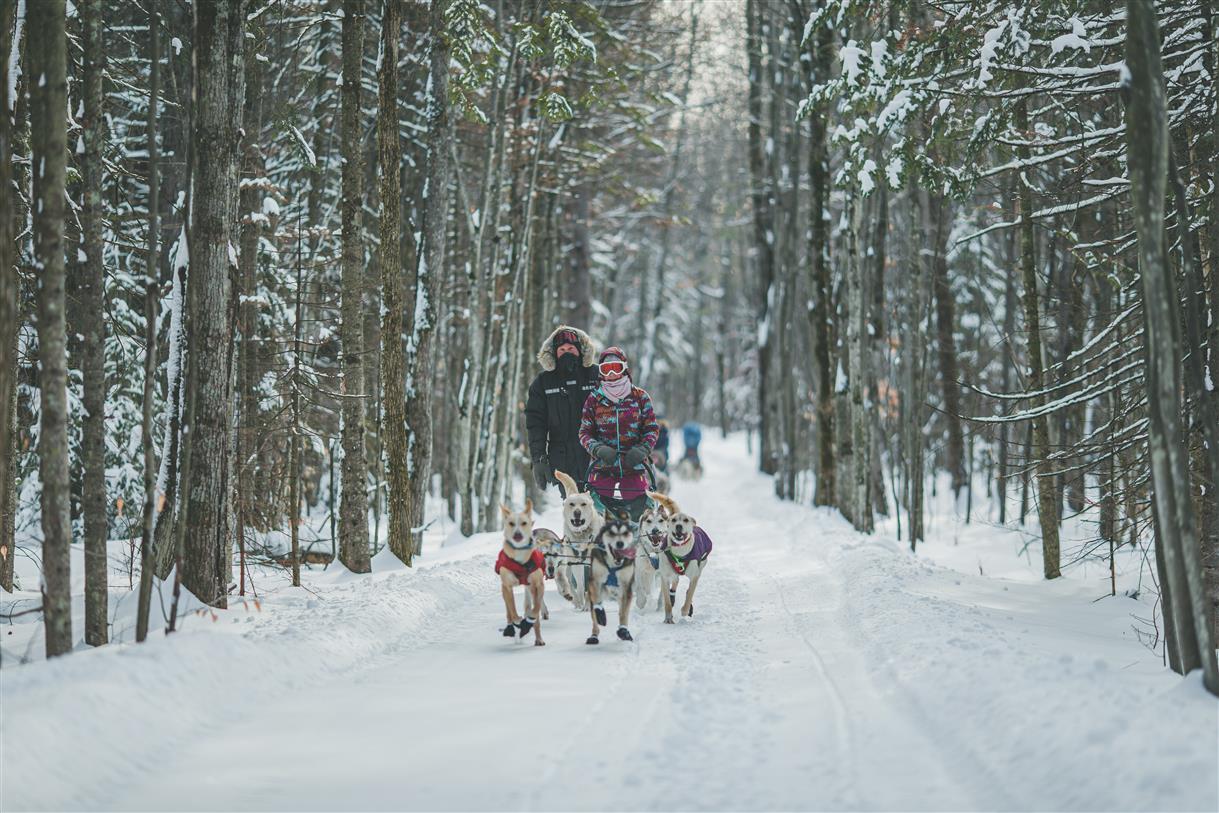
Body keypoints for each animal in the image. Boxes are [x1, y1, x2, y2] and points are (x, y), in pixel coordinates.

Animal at [499, 499, 548, 643]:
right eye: (511, 523)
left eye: (524, 523)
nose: (517, 534)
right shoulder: (507, 586)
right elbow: (512, 610)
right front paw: (518, 620)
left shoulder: (538, 584)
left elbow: (536, 608)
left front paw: (529, 619)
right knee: (508, 612)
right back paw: (511, 628)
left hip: (531, 588)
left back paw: (538, 638)